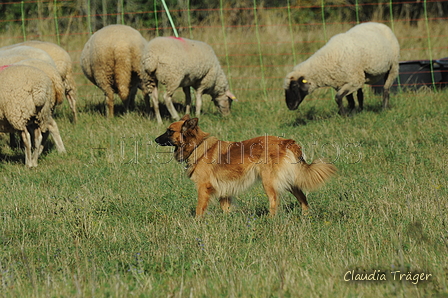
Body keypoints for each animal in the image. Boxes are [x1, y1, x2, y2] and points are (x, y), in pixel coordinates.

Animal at [156, 115, 338, 218]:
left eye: (170, 131)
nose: (155, 139)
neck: (198, 145)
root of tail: (287, 142)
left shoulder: (203, 187)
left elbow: (199, 208)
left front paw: (197, 223)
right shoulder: (224, 189)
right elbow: (226, 208)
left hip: (269, 181)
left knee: (274, 200)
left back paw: (270, 220)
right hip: (289, 180)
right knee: (302, 197)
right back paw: (305, 216)